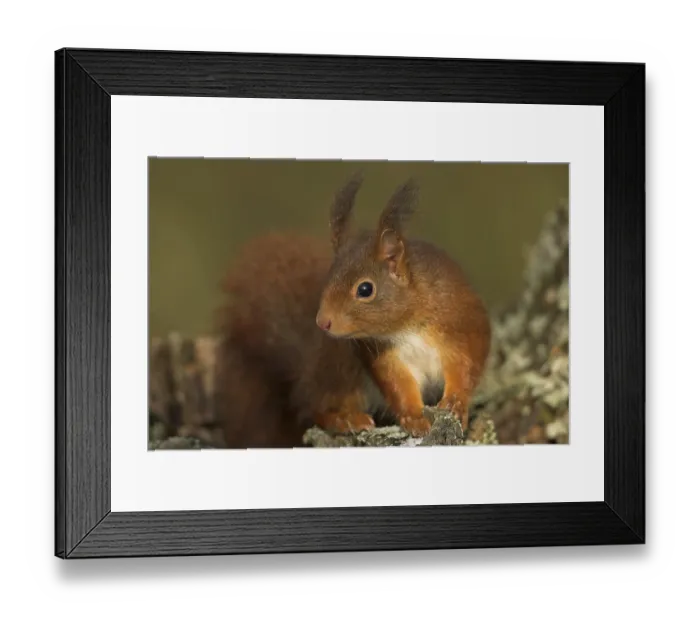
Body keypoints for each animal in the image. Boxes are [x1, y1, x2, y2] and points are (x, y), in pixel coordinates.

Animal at [213, 172, 492, 448]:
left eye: (365, 289)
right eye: (328, 278)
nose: (322, 321)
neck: (407, 325)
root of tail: (305, 374)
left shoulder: (461, 327)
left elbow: (466, 368)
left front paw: (456, 402)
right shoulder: (382, 356)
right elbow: (399, 386)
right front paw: (413, 417)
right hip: (340, 366)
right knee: (316, 407)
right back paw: (345, 419)